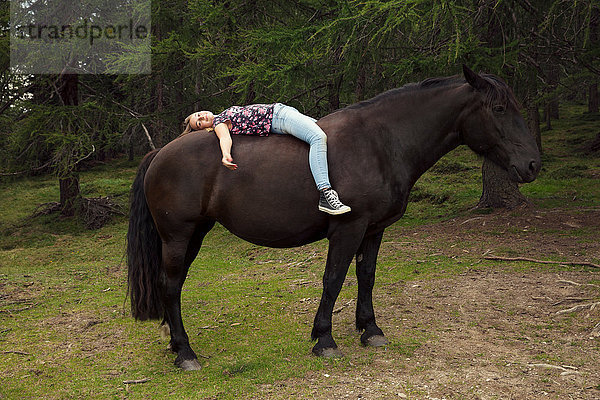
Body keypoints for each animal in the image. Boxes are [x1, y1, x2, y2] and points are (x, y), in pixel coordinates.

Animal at [125, 65, 540, 368]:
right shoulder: (348, 229)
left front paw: (370, 330)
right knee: (171, 286)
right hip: (178, 236)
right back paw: (185, 353)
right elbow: (334, 279)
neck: (381, 143)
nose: (532, 165)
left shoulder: (373, 230)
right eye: (499, 109)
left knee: (172, 285)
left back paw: (174, 343)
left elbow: (366, 276)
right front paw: (324, 339)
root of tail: (160, 153)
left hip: (194, 234)